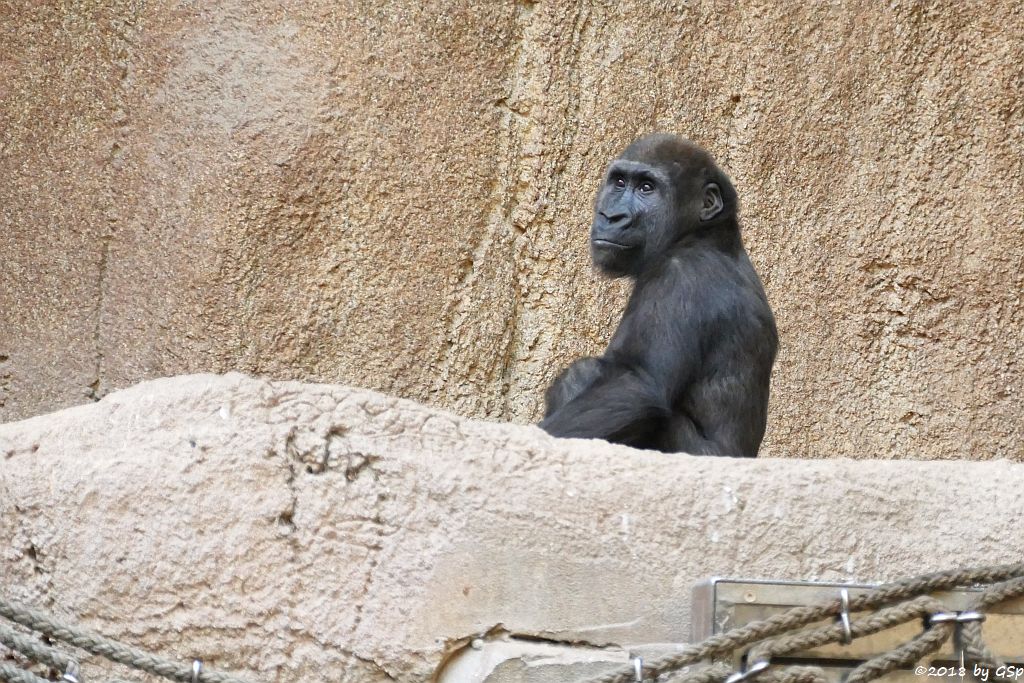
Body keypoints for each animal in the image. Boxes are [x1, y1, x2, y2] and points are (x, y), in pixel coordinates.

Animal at [540, 133, 770, 456]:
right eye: (619, 182)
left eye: (647, 188)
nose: (611, 216)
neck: (705, 235)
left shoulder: (679, 276)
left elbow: (637, 385)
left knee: (583, 374)